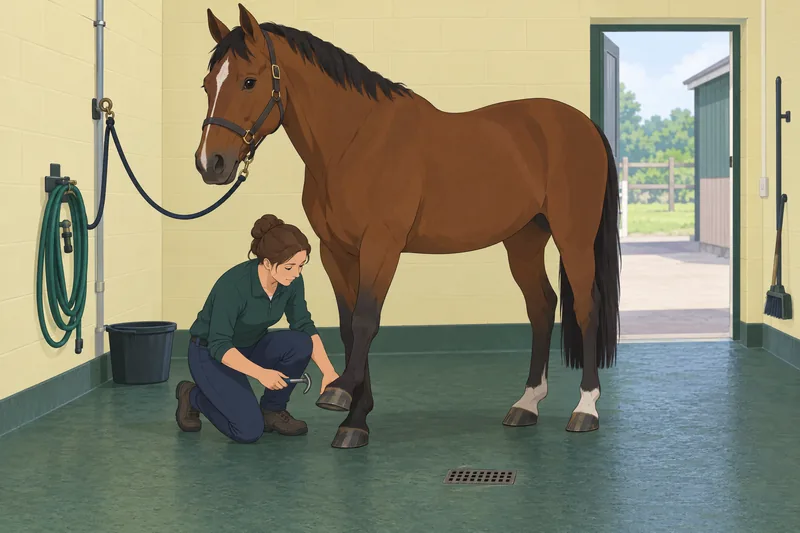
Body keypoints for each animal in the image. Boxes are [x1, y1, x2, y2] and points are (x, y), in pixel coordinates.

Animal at [195, 4, 621, 449]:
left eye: (248, 81)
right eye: (207, 84)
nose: (211, 164)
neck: (354, 143)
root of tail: (584, 125)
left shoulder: (381, 245)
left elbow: (367, 320)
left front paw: (344, 404)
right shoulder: (335, 250)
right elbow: (348, 327)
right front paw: (355, 413)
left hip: (573, 237)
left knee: (586, 306)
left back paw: (585, 409)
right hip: (523, 240)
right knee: (541, 305)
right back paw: (527, 405)